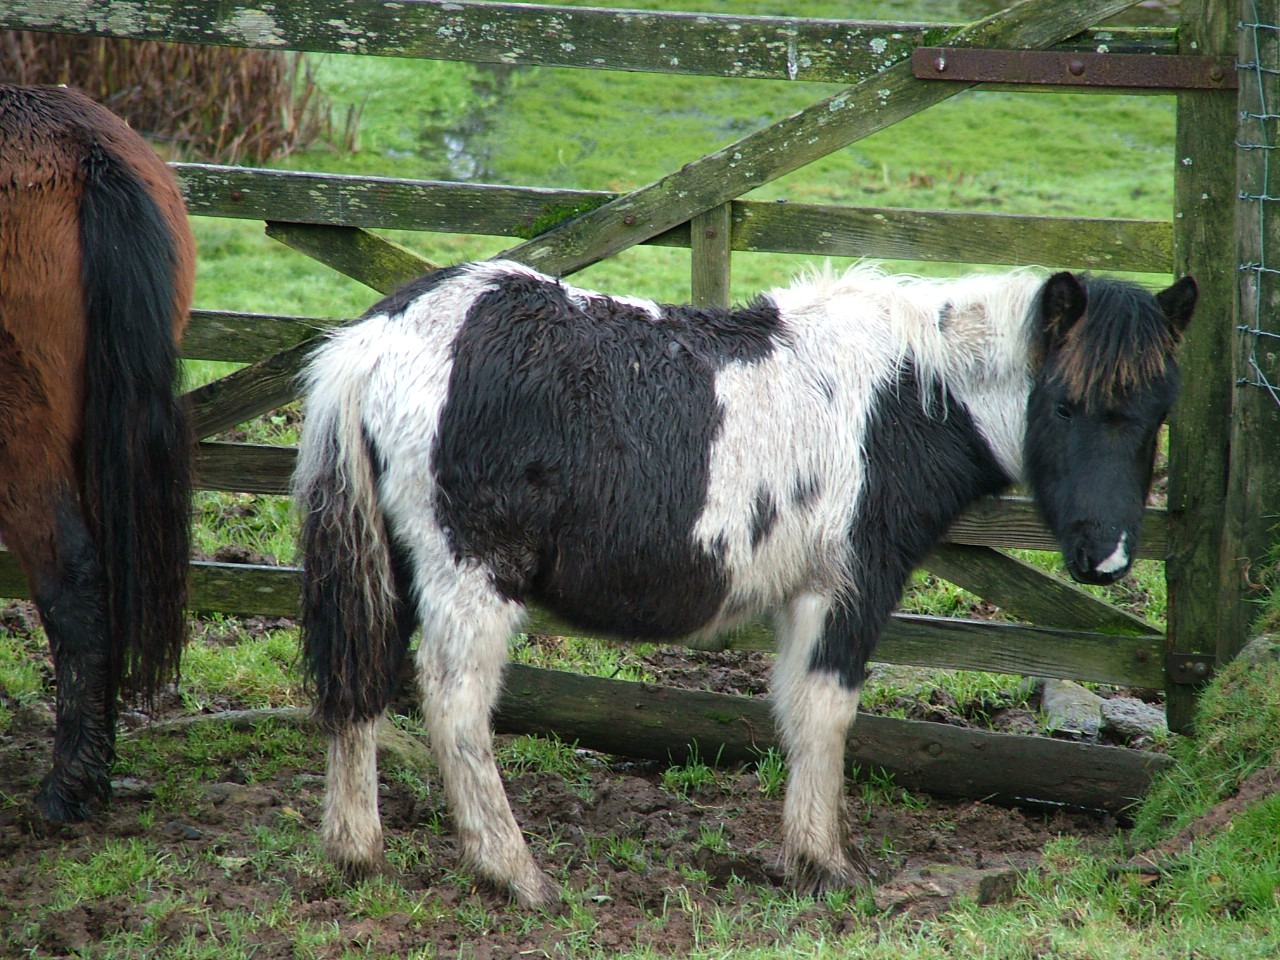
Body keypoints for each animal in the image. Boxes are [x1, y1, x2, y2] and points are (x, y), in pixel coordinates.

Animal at [294, 258, 1196, 907]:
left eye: (1158, 413)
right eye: (1066, 405)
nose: (1108, 559)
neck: (904, 397)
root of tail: (376, 342)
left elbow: (796, 715)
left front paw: (808, 857)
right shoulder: (847, 586)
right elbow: (825, 712)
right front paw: (825, 865)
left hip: (390, 568)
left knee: (359, 685)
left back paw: (356, 852)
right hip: (469, 574)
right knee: (453, 705)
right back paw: (513, 875)